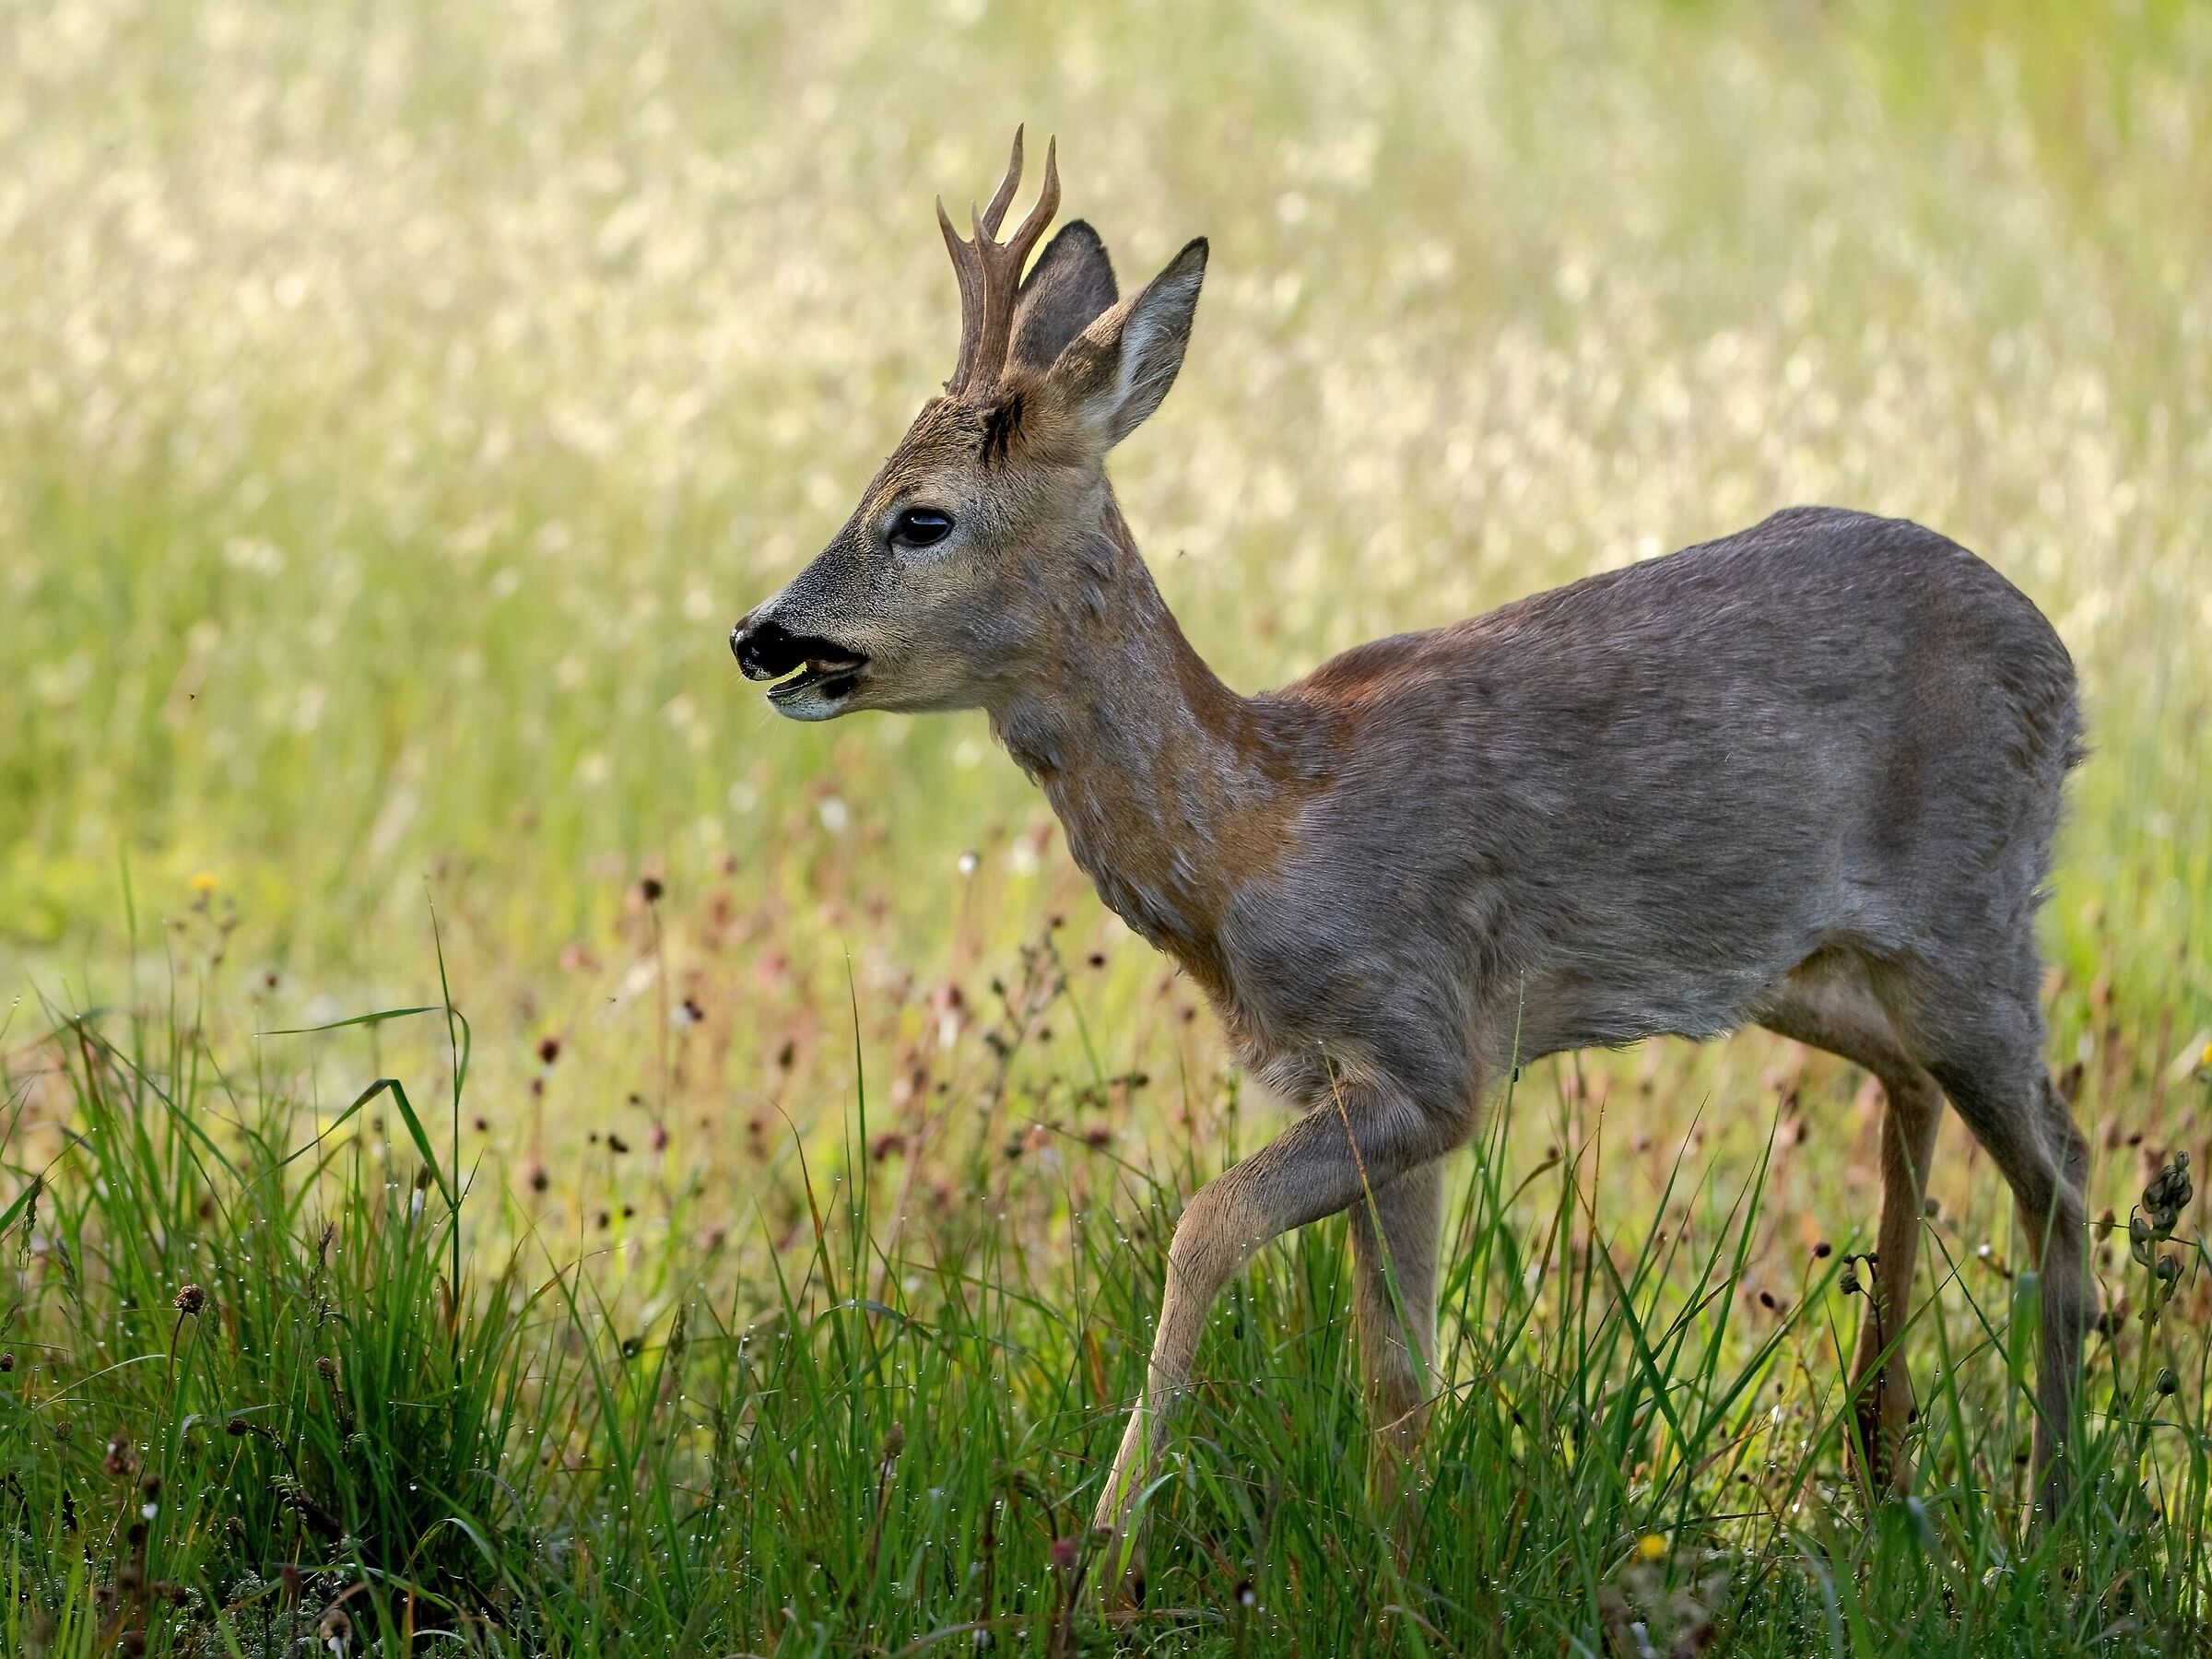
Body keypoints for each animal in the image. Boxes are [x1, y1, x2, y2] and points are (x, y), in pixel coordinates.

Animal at [729, 130, 2091, 1560]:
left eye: (921, 518)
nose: (758, 635)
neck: (1256, 832)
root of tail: (2064, 674)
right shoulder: (1378, 1084)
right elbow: (1398, 1375)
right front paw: (1391, 1566)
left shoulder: (1427, 1051)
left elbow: (1208, 1228)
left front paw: (1106, 1552)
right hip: (1808, 966)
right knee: (1919, 1093)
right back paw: (1887, 1453)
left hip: (1973, 922)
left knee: (2064, 1173)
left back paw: (2048, 1516)